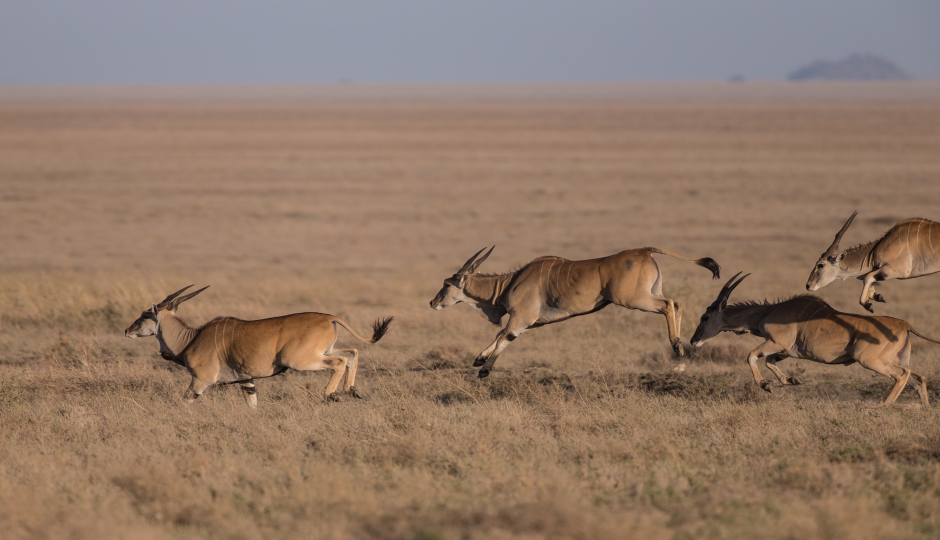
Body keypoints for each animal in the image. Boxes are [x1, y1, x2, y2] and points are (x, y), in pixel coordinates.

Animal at [123, 286, 392, 404]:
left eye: (145, 315)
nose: (127, 330)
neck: (191, 338)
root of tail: (329, 317)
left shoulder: (201, 381)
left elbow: (185, 401)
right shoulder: (247, 380)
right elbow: (252, 403)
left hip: (302, 361)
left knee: (340, 361)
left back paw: (332, 394)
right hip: (322, 352)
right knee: (352, 353)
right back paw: (352, 390)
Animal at [430, 246, 724, 378]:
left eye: (446, 284)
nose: (433, 303)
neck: (510, 282)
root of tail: (645, 250)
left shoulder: (522, 318)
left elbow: (503, 337)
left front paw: (484, 369)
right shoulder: (526, 322)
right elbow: (500, 336)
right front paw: (479, 360)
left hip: (634, 299)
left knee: (668, 304)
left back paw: (677, 346)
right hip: (649, 294)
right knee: (677, 302)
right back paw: (681, 346)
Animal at [692, 272, 940, 408]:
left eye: (705, 317)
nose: (694, 341)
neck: (768, 311)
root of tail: (905, 325)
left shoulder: (777, 344)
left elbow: (752, 356)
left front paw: (765, 384)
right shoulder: (785, 351)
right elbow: (769, 361)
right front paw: (790, 380)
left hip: (871, 361)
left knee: (903, 375)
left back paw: (882, 407)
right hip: (897, 358)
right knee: (918, 378)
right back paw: (925, 409)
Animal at [804, 211, 940, 312]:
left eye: (821, 265)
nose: (808, 285)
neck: (875, 250)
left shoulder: (898, 271)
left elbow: (867, 277)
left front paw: (867, 304)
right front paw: (876, 296)